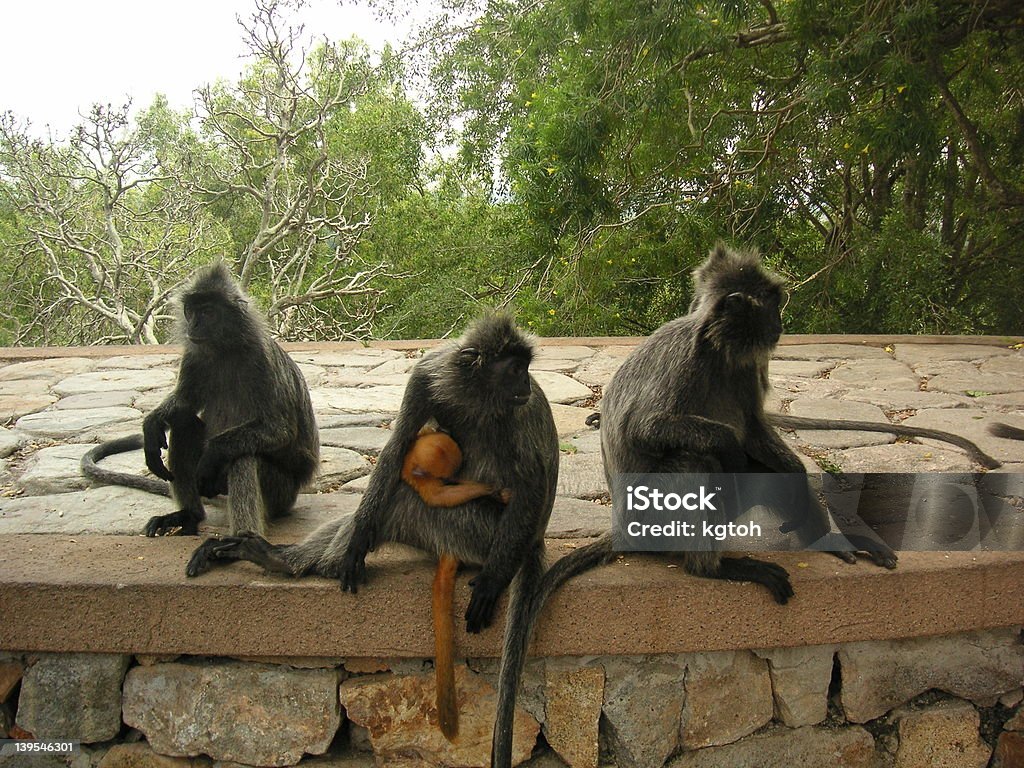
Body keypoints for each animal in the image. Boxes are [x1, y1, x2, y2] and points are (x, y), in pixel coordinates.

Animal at [82, 264, 317, 561]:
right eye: (191, 311)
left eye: (208, 312)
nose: (194, 326)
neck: (225, 349)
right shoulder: (194, 355)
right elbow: (185, 404)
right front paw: (152, 423)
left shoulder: (261, 360)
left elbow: (280, 429)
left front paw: (212, 454)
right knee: (183, 424)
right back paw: (189, 515)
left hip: (280, 494)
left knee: (243, 457)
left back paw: (239, 543)